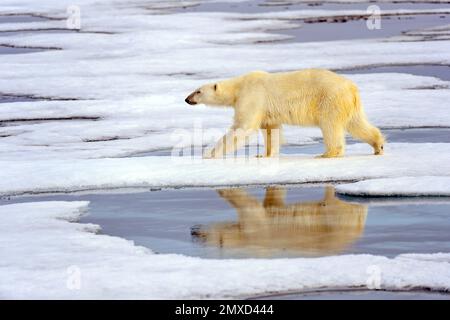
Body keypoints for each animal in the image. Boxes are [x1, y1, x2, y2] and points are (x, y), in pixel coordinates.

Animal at [185, 70, 384, 160]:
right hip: (348, 104)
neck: (239, 86)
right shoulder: (266, 111)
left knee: (330, 126)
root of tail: (352, 88)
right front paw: (264, 155)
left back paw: (327, 154)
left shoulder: (251, 96)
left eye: (198, 91)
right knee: (356, 123)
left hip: (330, 100)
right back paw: (378, 146)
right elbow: (270, 130)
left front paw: (209, 153)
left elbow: (243, 127)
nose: (187, 99)